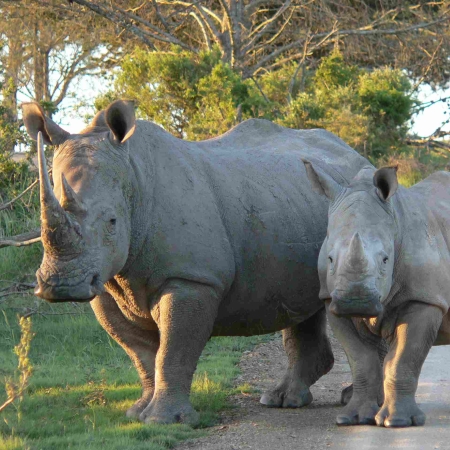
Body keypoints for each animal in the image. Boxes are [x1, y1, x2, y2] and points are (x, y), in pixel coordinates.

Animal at [22, 99, 370, 426]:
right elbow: (140, 352)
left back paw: (344, 400)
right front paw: (138, 414)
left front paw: (164, 421)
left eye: (111, 221)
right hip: (290, 202)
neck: (134, 178)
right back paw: (282, 400)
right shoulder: (106, 281)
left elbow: (173, 350)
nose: (61, 286)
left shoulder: (192, 279)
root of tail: (357, 155)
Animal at [300, 163, 450, 428]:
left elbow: (404, 359)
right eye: (330, 259)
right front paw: (354, 418)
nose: (355, 301)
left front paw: (398, 422)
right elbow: (361, 361)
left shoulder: (424, 297)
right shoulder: (330, 300)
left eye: (385, 260)